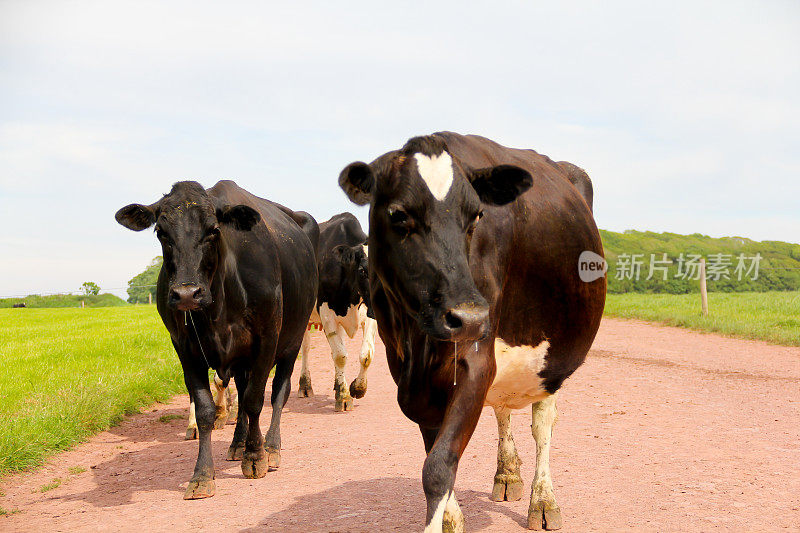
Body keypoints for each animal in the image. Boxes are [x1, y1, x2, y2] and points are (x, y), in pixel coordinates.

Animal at [115, 181, 318, 500]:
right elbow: (206, 410)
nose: (187, 294)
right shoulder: (185, 348)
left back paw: (271, 446)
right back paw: (238, 443)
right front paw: (201, 475)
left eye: (213, 229)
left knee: (278, 393)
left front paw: (256, 457)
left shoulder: (267, 339)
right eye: (161, 231)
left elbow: (256, 401)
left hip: (293, 339)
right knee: (243, 393)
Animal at [296, 212, 378, 412]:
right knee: (306, 348)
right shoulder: (327, 315)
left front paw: (357, 388)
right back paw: (305, 386)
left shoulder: (369, 314)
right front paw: (343, 396)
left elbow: (366, 355)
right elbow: (340, 356)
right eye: (362, 271)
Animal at [338, 132, 608, 528]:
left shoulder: (475, 358)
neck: (418, 341)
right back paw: (507, 473)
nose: (469, 316)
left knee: (543, 422)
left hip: (551, 356)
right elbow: (437, 454)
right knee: (503, 407)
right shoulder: (404, 367)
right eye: (399, 215)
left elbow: (438, 466)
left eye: (477, 215)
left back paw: (543, 500)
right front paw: (452, 520)